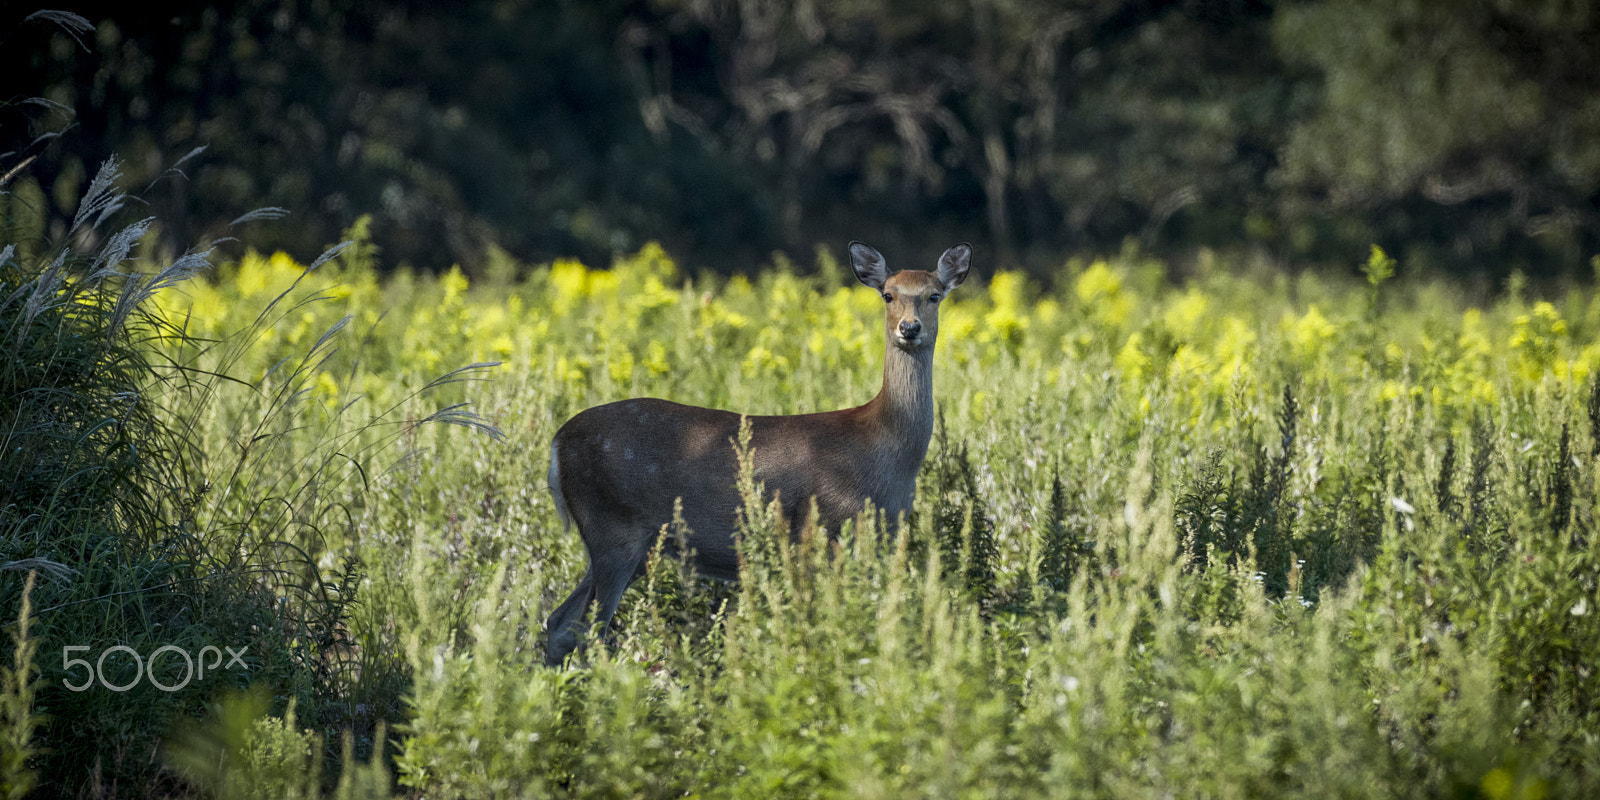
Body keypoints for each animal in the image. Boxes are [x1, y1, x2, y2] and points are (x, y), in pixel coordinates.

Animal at [543, 241, 972, 665]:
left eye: (934, 295)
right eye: (888, 295)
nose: (909, 328)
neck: (884, 454)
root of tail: (556, 444)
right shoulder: (821, 528)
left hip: (626, 542)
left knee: (558, 623)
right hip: (614, 528)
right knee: (588, 630)